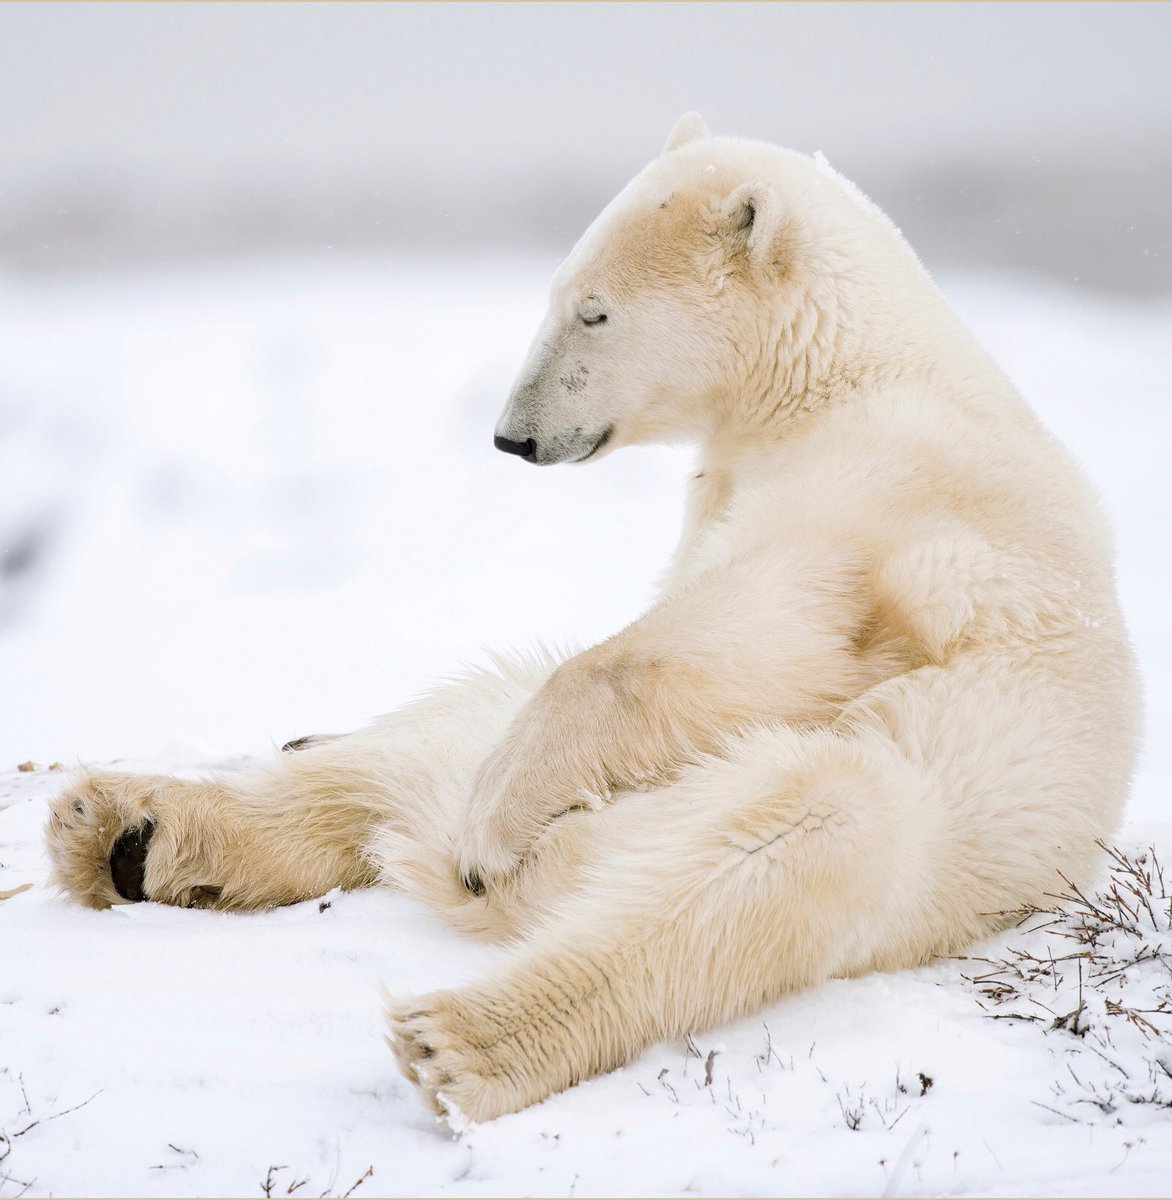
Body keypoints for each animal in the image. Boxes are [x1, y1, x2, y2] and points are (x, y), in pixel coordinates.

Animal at [43, 112, 1132, 1123]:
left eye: (594, 312)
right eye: (558, 295)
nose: (512, 436)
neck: (843, 371)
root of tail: (572, 868)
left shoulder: (890, 488)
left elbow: (763, 632)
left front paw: (489, 833)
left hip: (911, 828)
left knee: (781, 849)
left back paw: (461, 1017)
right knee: (434, 740)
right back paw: (124, 829)